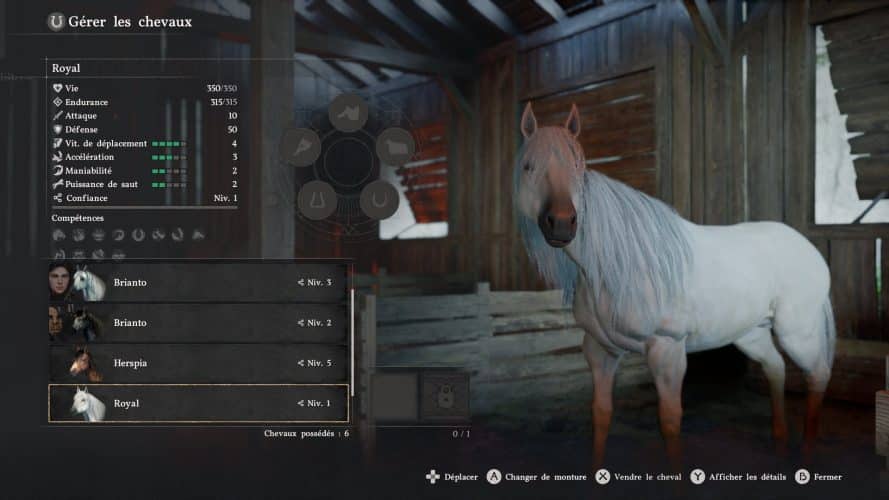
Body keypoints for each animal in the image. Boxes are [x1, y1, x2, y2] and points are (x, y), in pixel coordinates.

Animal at [514, 102, 835, 468]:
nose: (562, 223)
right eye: (527, 166)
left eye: (578, 168)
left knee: (817, 375)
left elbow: (669, 422)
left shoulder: (667, 349)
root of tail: (808, 247)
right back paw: (780, 444)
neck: (614, 266)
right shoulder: (600, 350)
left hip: (797, 332)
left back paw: (807, 454)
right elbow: (600, 415)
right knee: (775, 368)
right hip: (750, 333)